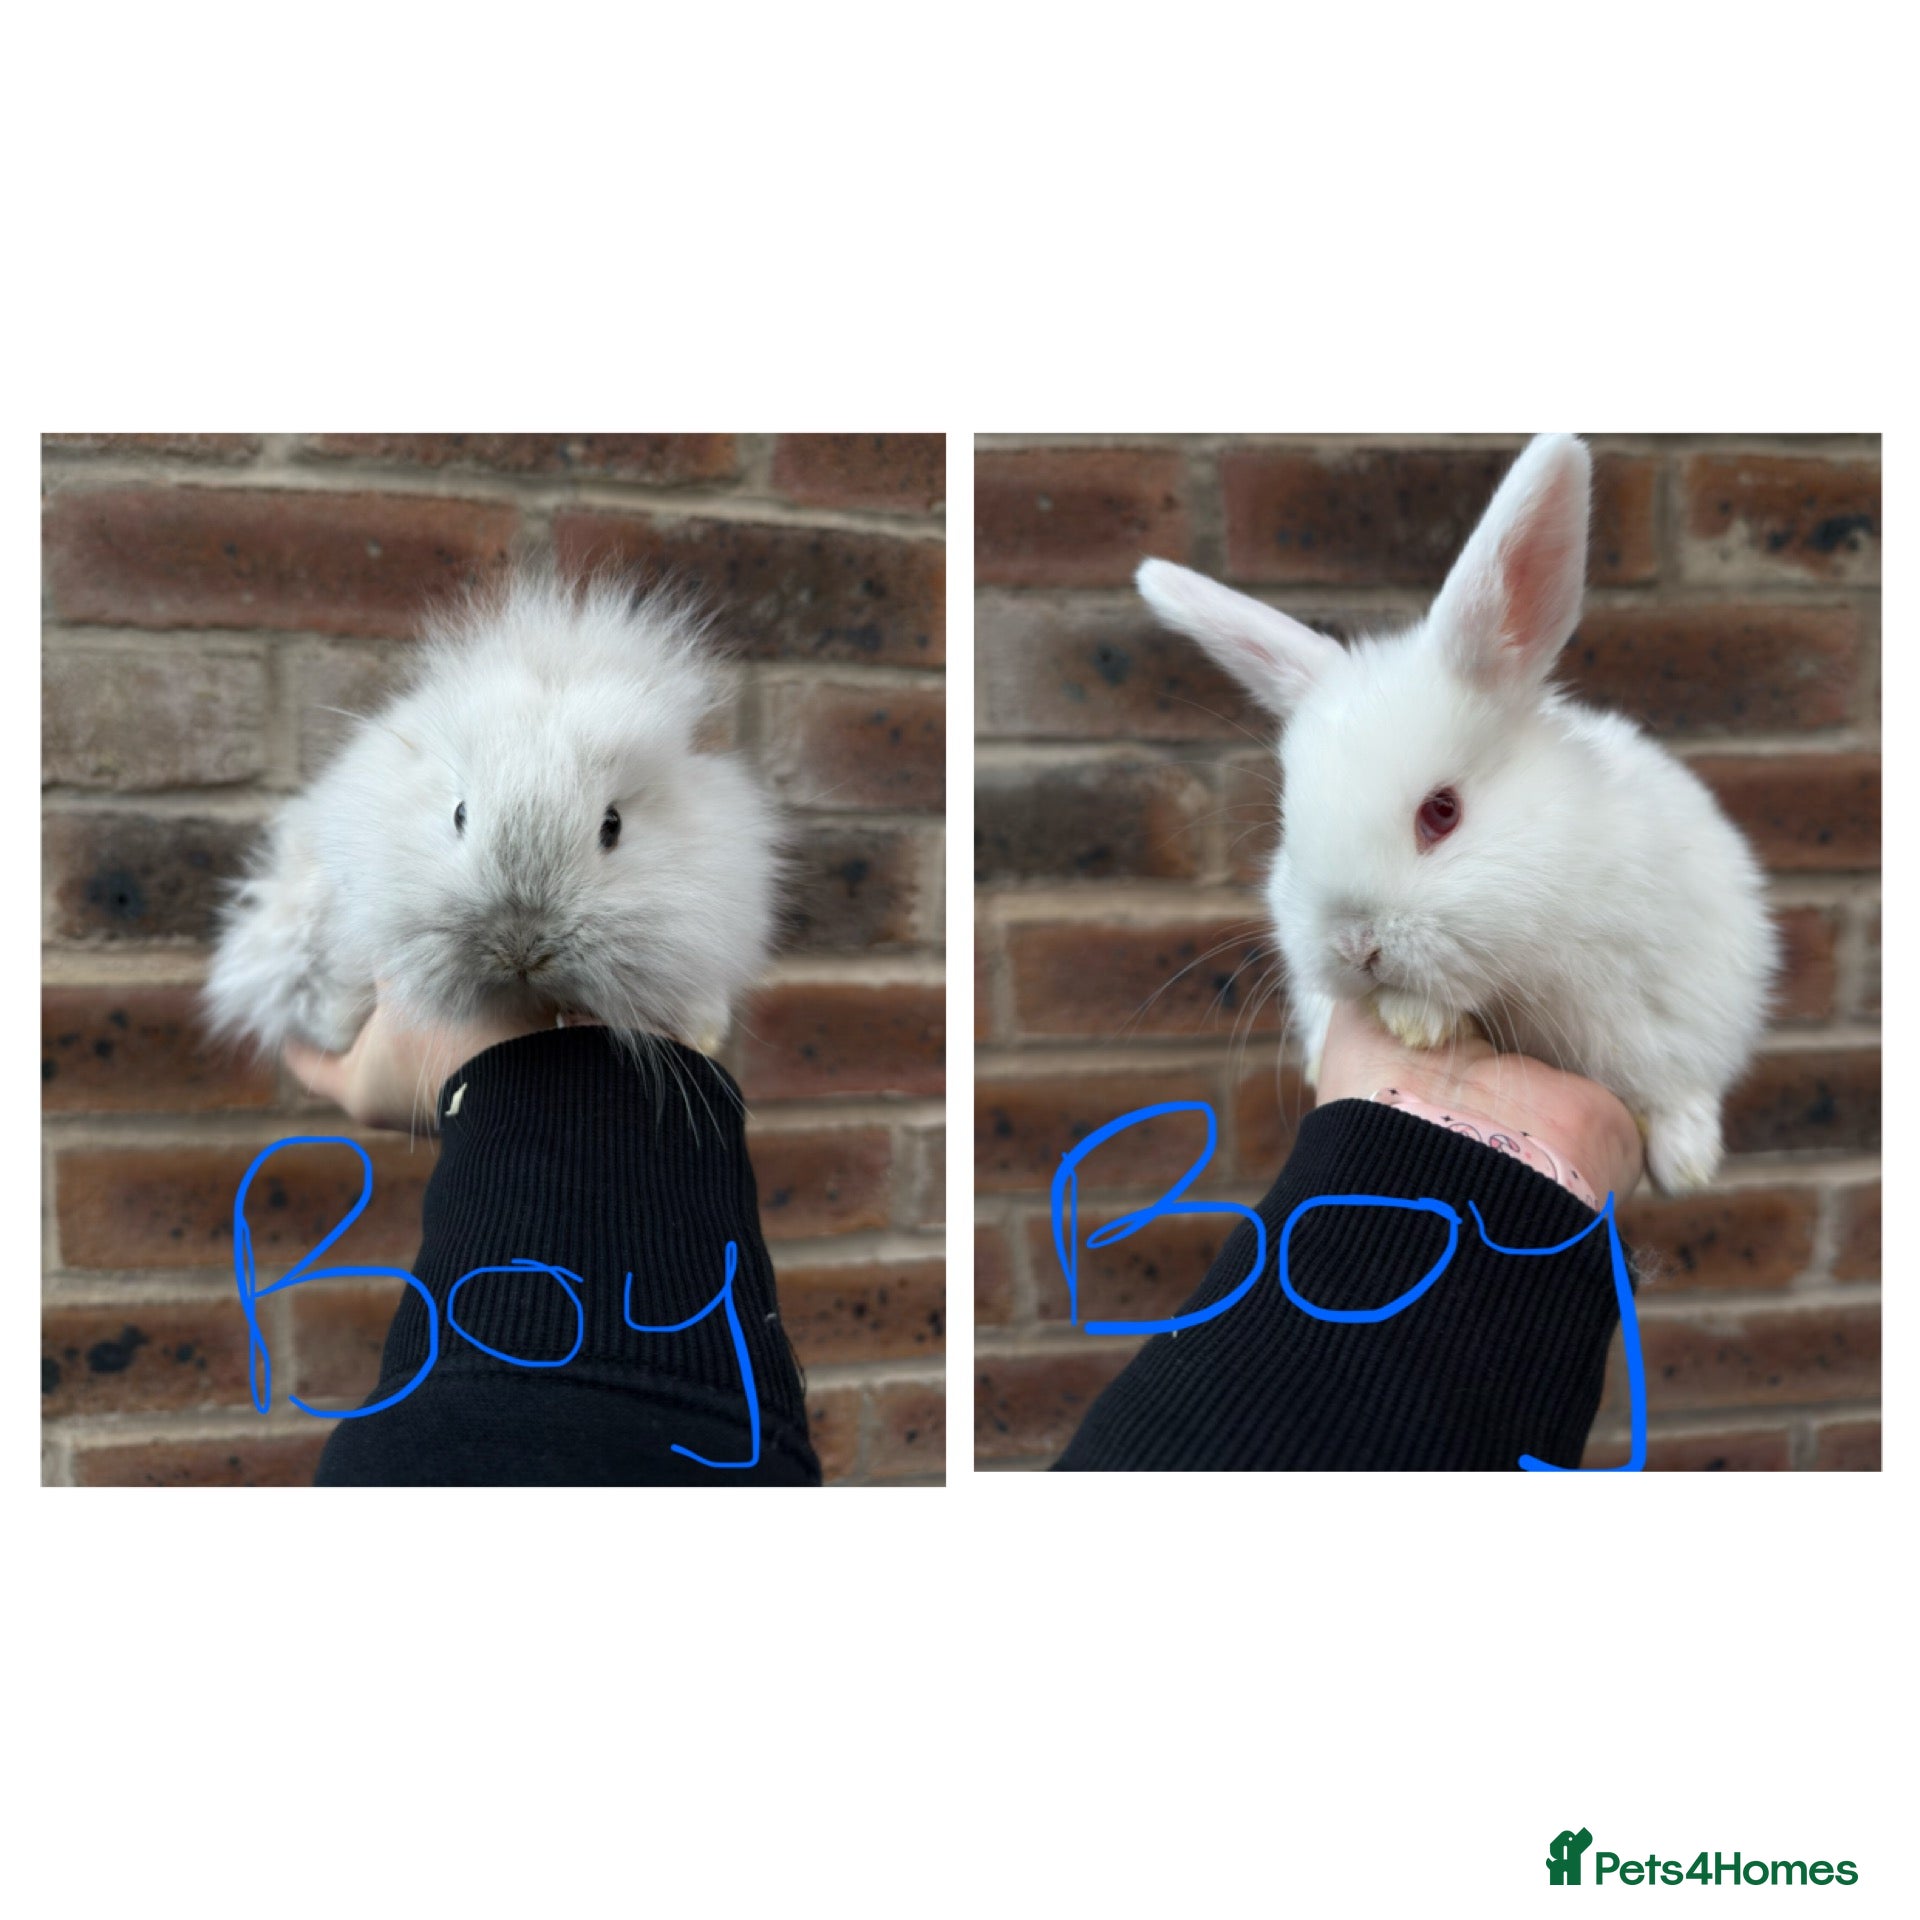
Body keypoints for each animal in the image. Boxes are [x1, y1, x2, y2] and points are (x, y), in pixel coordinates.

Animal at [1136, 433, 1777, 1194]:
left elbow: (1677, 1074)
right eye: (1290, 825)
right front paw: (1411, 1021)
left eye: (1441, 813)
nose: (1355, 945)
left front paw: (1686, 1166)